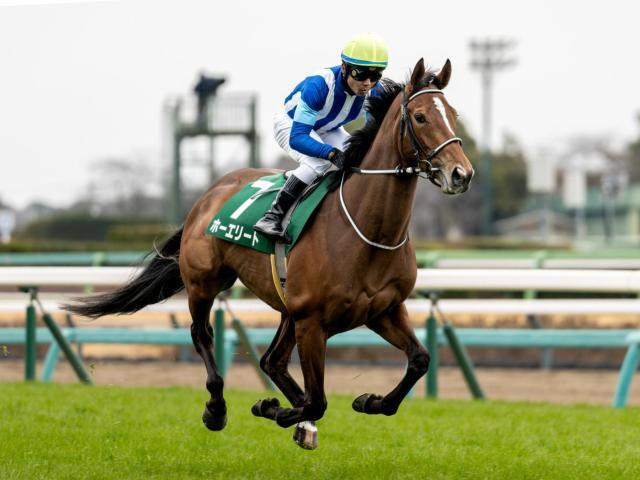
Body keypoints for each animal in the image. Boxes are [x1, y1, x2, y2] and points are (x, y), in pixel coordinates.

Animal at [65, 58, 474, 449]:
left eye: (453, 114)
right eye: (420, 117)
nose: (461, 174)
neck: (367, 231)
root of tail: (209, 193)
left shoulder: (382, 310)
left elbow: (419, 360)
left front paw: (368, 401)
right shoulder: (312, 320)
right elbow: (317, 400)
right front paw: (274, 409)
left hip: (287, 307)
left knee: (272, 361)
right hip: (204, 282)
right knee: (203, 334)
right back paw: (218, 409)